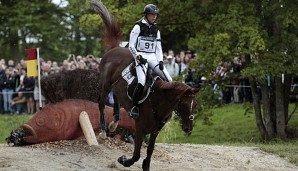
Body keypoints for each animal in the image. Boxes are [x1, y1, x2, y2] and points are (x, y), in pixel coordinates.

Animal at [89, 0, 199, 170]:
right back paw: (102, 132)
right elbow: (136, 154)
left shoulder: (155, 131)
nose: (188, 128)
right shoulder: (140, 128)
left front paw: (145, 165)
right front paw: (123, 160)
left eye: (194, 105)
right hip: (105, 83)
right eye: (183, 104)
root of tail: (115, 48)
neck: (159, 102)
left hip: (116, 86)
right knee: (101, 102)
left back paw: (113, 124)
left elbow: (150, 151)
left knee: (117, 99)